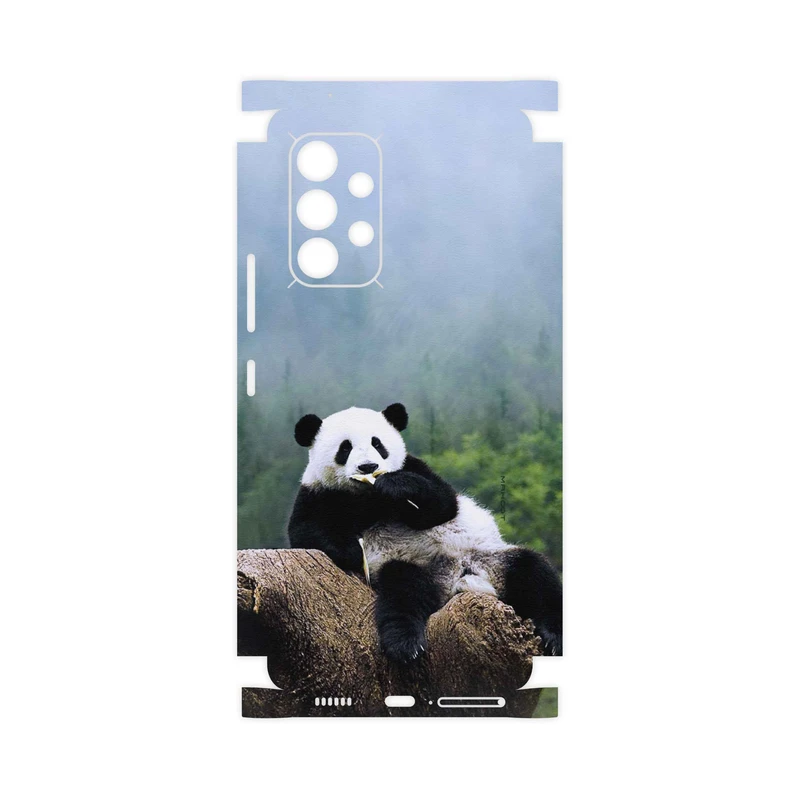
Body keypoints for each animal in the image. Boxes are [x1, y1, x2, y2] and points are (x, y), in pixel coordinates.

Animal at [288, 403, 562, 661]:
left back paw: (553, 636)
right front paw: (354, 551)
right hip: (412, 566)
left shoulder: (415, 467)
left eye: (377, 443)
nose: (368, 466)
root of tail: (458, 578)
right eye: (345, 448)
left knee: (535, 574)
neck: (367, 496)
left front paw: (395, 486)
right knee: (403, 592)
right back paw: (405, 644)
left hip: (491, 558)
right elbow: (306, 531)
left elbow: (443, 504)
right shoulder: (319, 493)